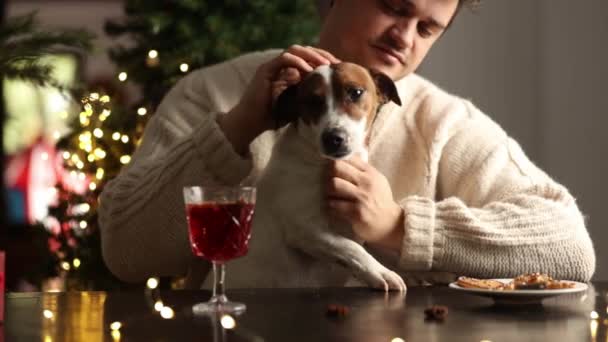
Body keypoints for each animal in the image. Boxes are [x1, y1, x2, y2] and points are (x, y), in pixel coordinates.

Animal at [221, 62, 406, 292]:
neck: (321, 163)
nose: (333, 138)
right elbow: (350, 247)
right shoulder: (305, 229)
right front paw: (379, 271)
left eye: (355, 92)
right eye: (312, 101)